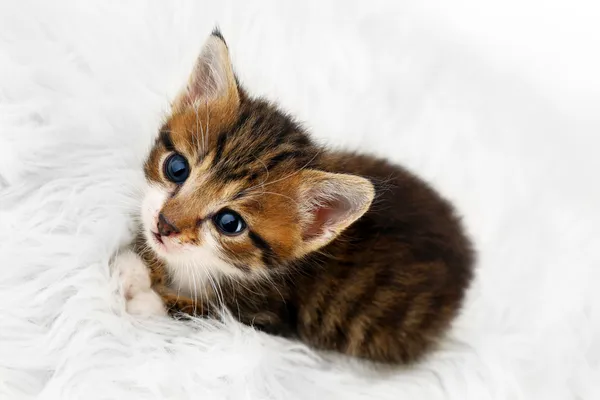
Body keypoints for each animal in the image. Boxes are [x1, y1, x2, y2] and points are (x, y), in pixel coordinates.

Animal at [116, 29, 474, 364]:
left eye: (230, 223)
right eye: (177, 168)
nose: (165, 224)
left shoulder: (268, 318)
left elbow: (205, 313)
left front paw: (144, 294)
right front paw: (136, 265)